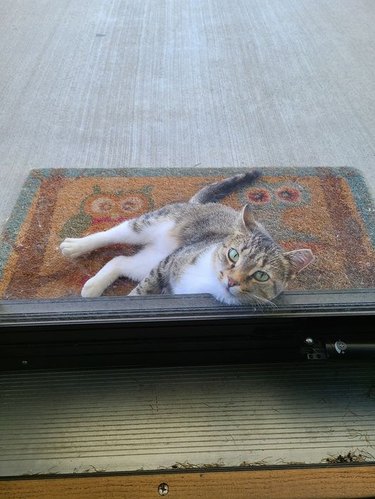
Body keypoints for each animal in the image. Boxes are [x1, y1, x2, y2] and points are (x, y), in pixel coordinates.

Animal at [60, 170, 316, 306]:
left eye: (261, 275)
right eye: (233, 255)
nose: (231, 280)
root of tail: (199, 204)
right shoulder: (166, 265)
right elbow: (142, 292)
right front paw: (132, 300)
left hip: (147, 260)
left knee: (120, 261)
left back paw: (93, 286)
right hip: (152, 224)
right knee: (114, 232)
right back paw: (73, 247)